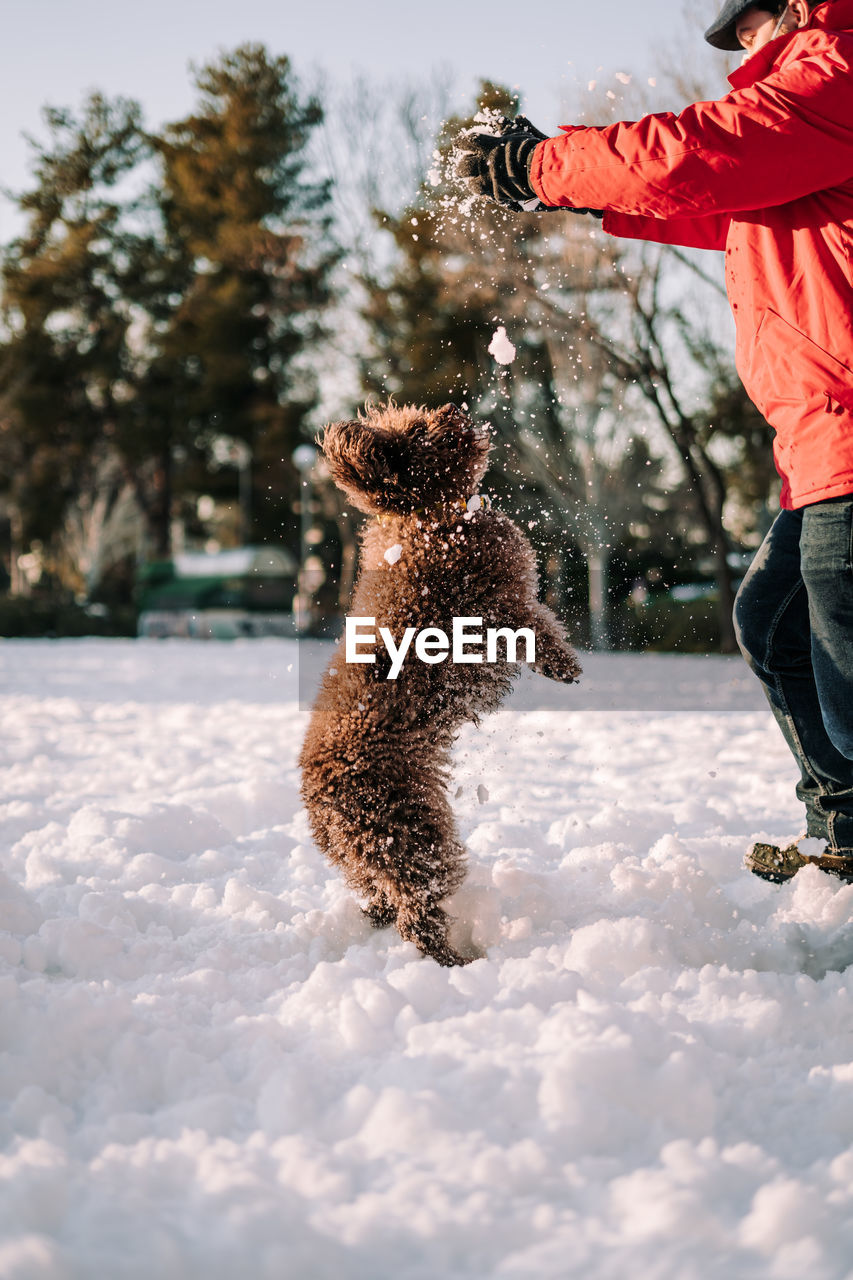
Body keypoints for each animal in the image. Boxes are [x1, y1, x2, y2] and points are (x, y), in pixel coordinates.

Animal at [295, 404, 581, 962]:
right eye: (418, 431)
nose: (453, 410)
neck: (428, 518)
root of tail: (320, 796)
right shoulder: (496, 603)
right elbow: (538, 626)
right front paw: (564, 666)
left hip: (372, 855)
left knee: (384, 898)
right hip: (415, 835)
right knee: (417, 916)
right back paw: (458, 962)